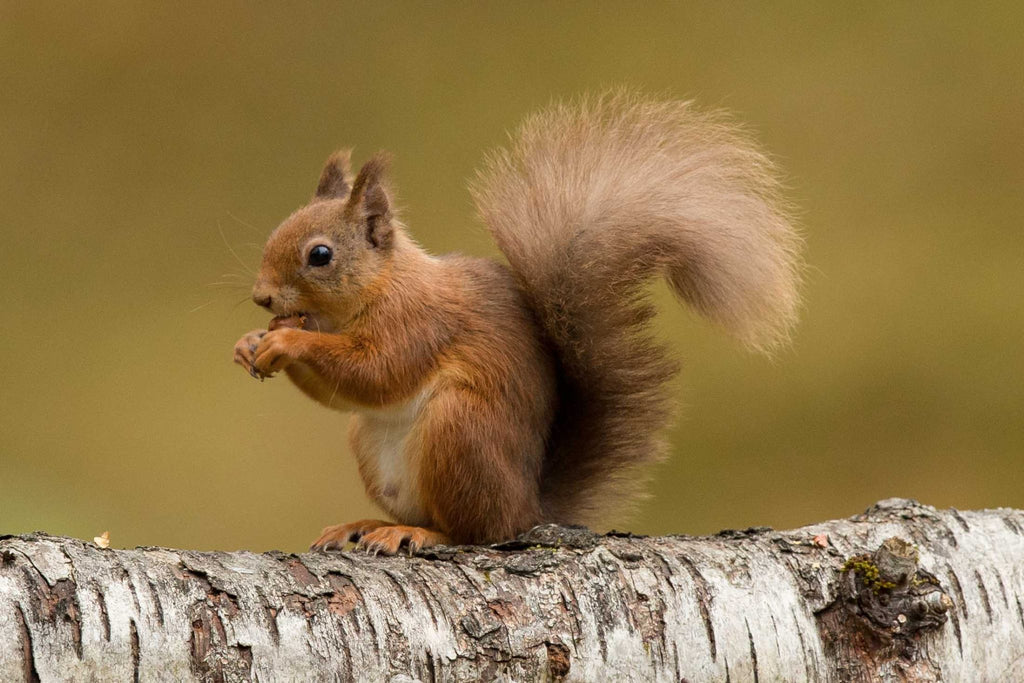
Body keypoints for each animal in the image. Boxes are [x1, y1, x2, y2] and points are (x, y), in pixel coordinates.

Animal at [230, 93, 798, 557]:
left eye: (320, 255)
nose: (261, 297)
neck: (380, 287)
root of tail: (527, 508)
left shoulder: (419, 325)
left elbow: (376, 372)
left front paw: (287, 339)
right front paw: (248, 343)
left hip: (459, 430)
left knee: (474, 531)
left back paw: (415, 533)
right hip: (373, 444)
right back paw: (364, 525)